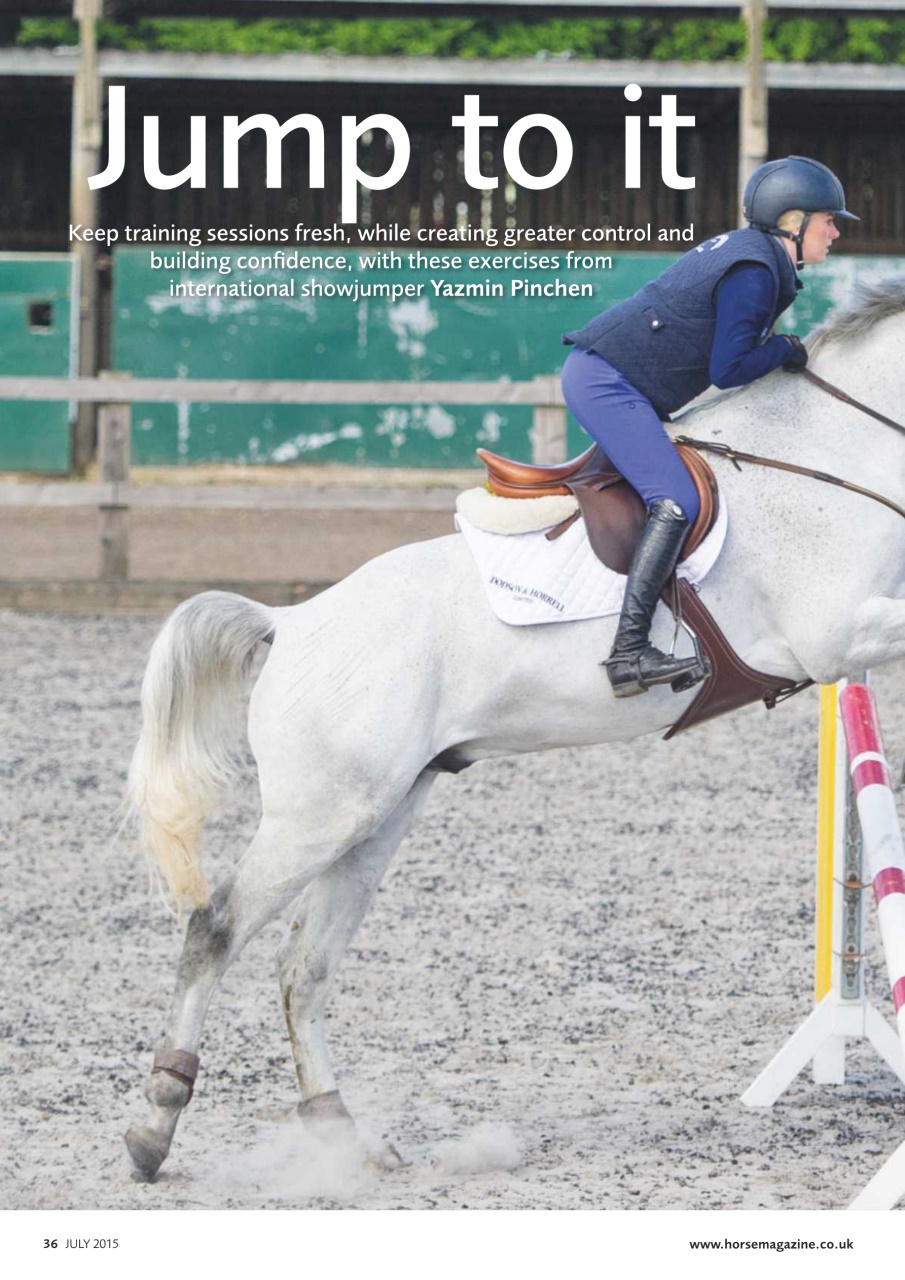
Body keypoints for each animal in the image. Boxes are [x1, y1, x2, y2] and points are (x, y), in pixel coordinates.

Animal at [124, 278, 905, 1181]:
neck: (834, 452)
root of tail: (288, 624)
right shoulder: (834, 633)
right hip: (318, 818)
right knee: (215, 933)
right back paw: (154, 1126)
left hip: (376, 817)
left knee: (303, 967)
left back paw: (342, 1133)